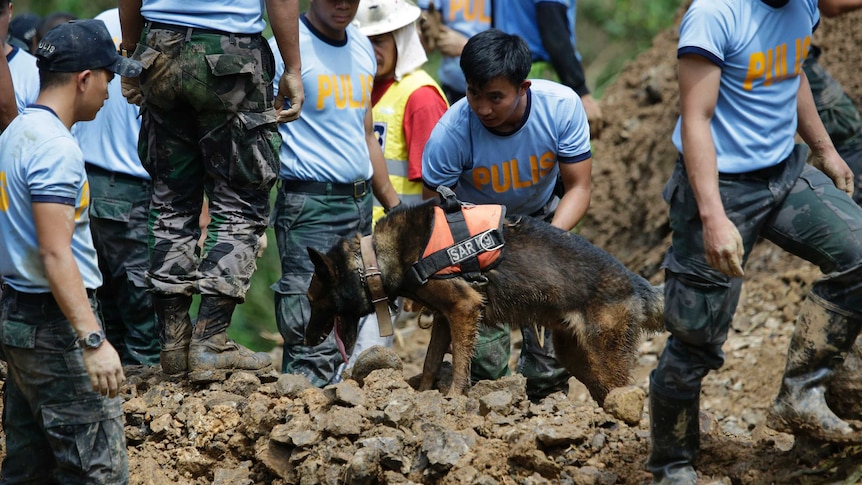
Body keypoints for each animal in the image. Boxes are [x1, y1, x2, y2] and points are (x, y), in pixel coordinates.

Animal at [308, 198, 664, 404]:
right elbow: (430, 362)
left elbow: (460, 363)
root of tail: (635, 282)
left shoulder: (464, 308)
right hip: (576, 356)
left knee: (625, 391)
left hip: (603, 356)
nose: (305, 337)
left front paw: (454, 397)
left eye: (312, 299)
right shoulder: (444, 318)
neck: (372, 260)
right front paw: (422, 394)